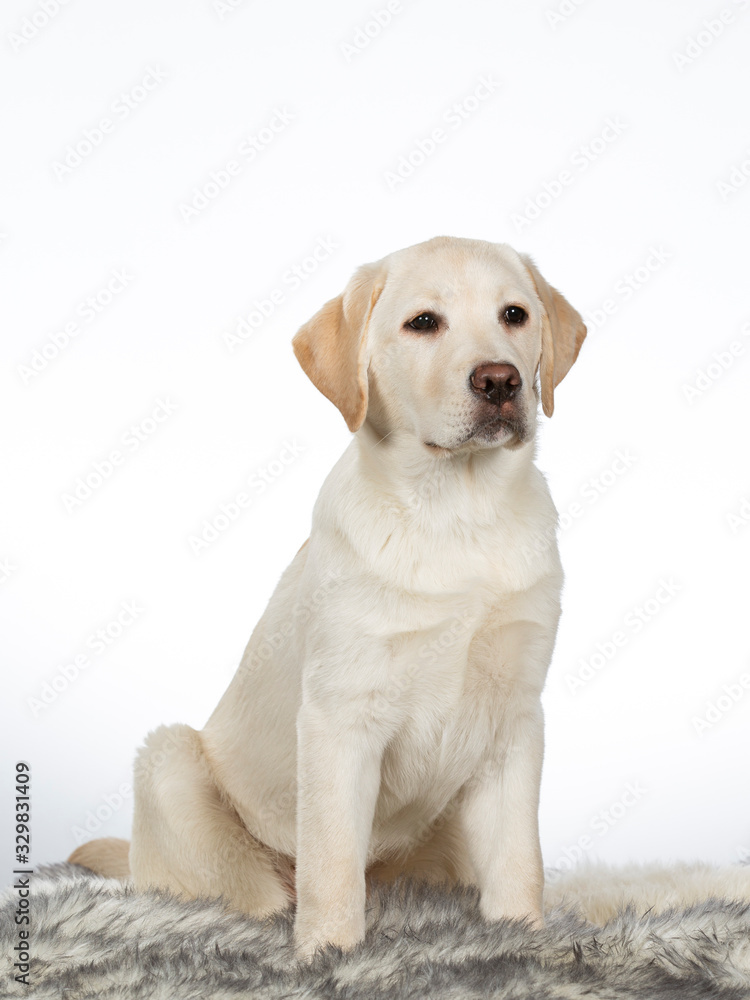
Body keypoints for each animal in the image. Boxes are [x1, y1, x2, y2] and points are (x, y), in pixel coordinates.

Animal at [69, 236, 588, 960]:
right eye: (423, 323)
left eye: (515, 314)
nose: (500, 381)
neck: (458, 511)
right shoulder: (340, 718)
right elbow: (334, 862)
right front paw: (330, 956)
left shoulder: (513, 719)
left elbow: (519, 857)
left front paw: (522, 941)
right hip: (170, 765)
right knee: (262, 889)